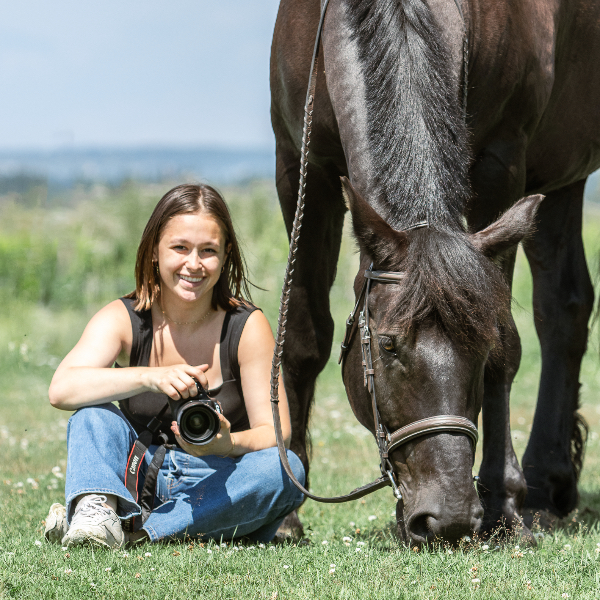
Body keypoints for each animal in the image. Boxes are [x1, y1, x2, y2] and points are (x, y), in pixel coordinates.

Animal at [270, 0, 600, 548]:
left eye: (480, 351)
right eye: (387, 346)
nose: (447, 517)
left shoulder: (502, 164)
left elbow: (507, 346)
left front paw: (504, 505)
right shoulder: (300, 164)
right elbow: (303, 337)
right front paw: (286, 514)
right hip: (559, 176)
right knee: (565, 307)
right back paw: (548, 484)